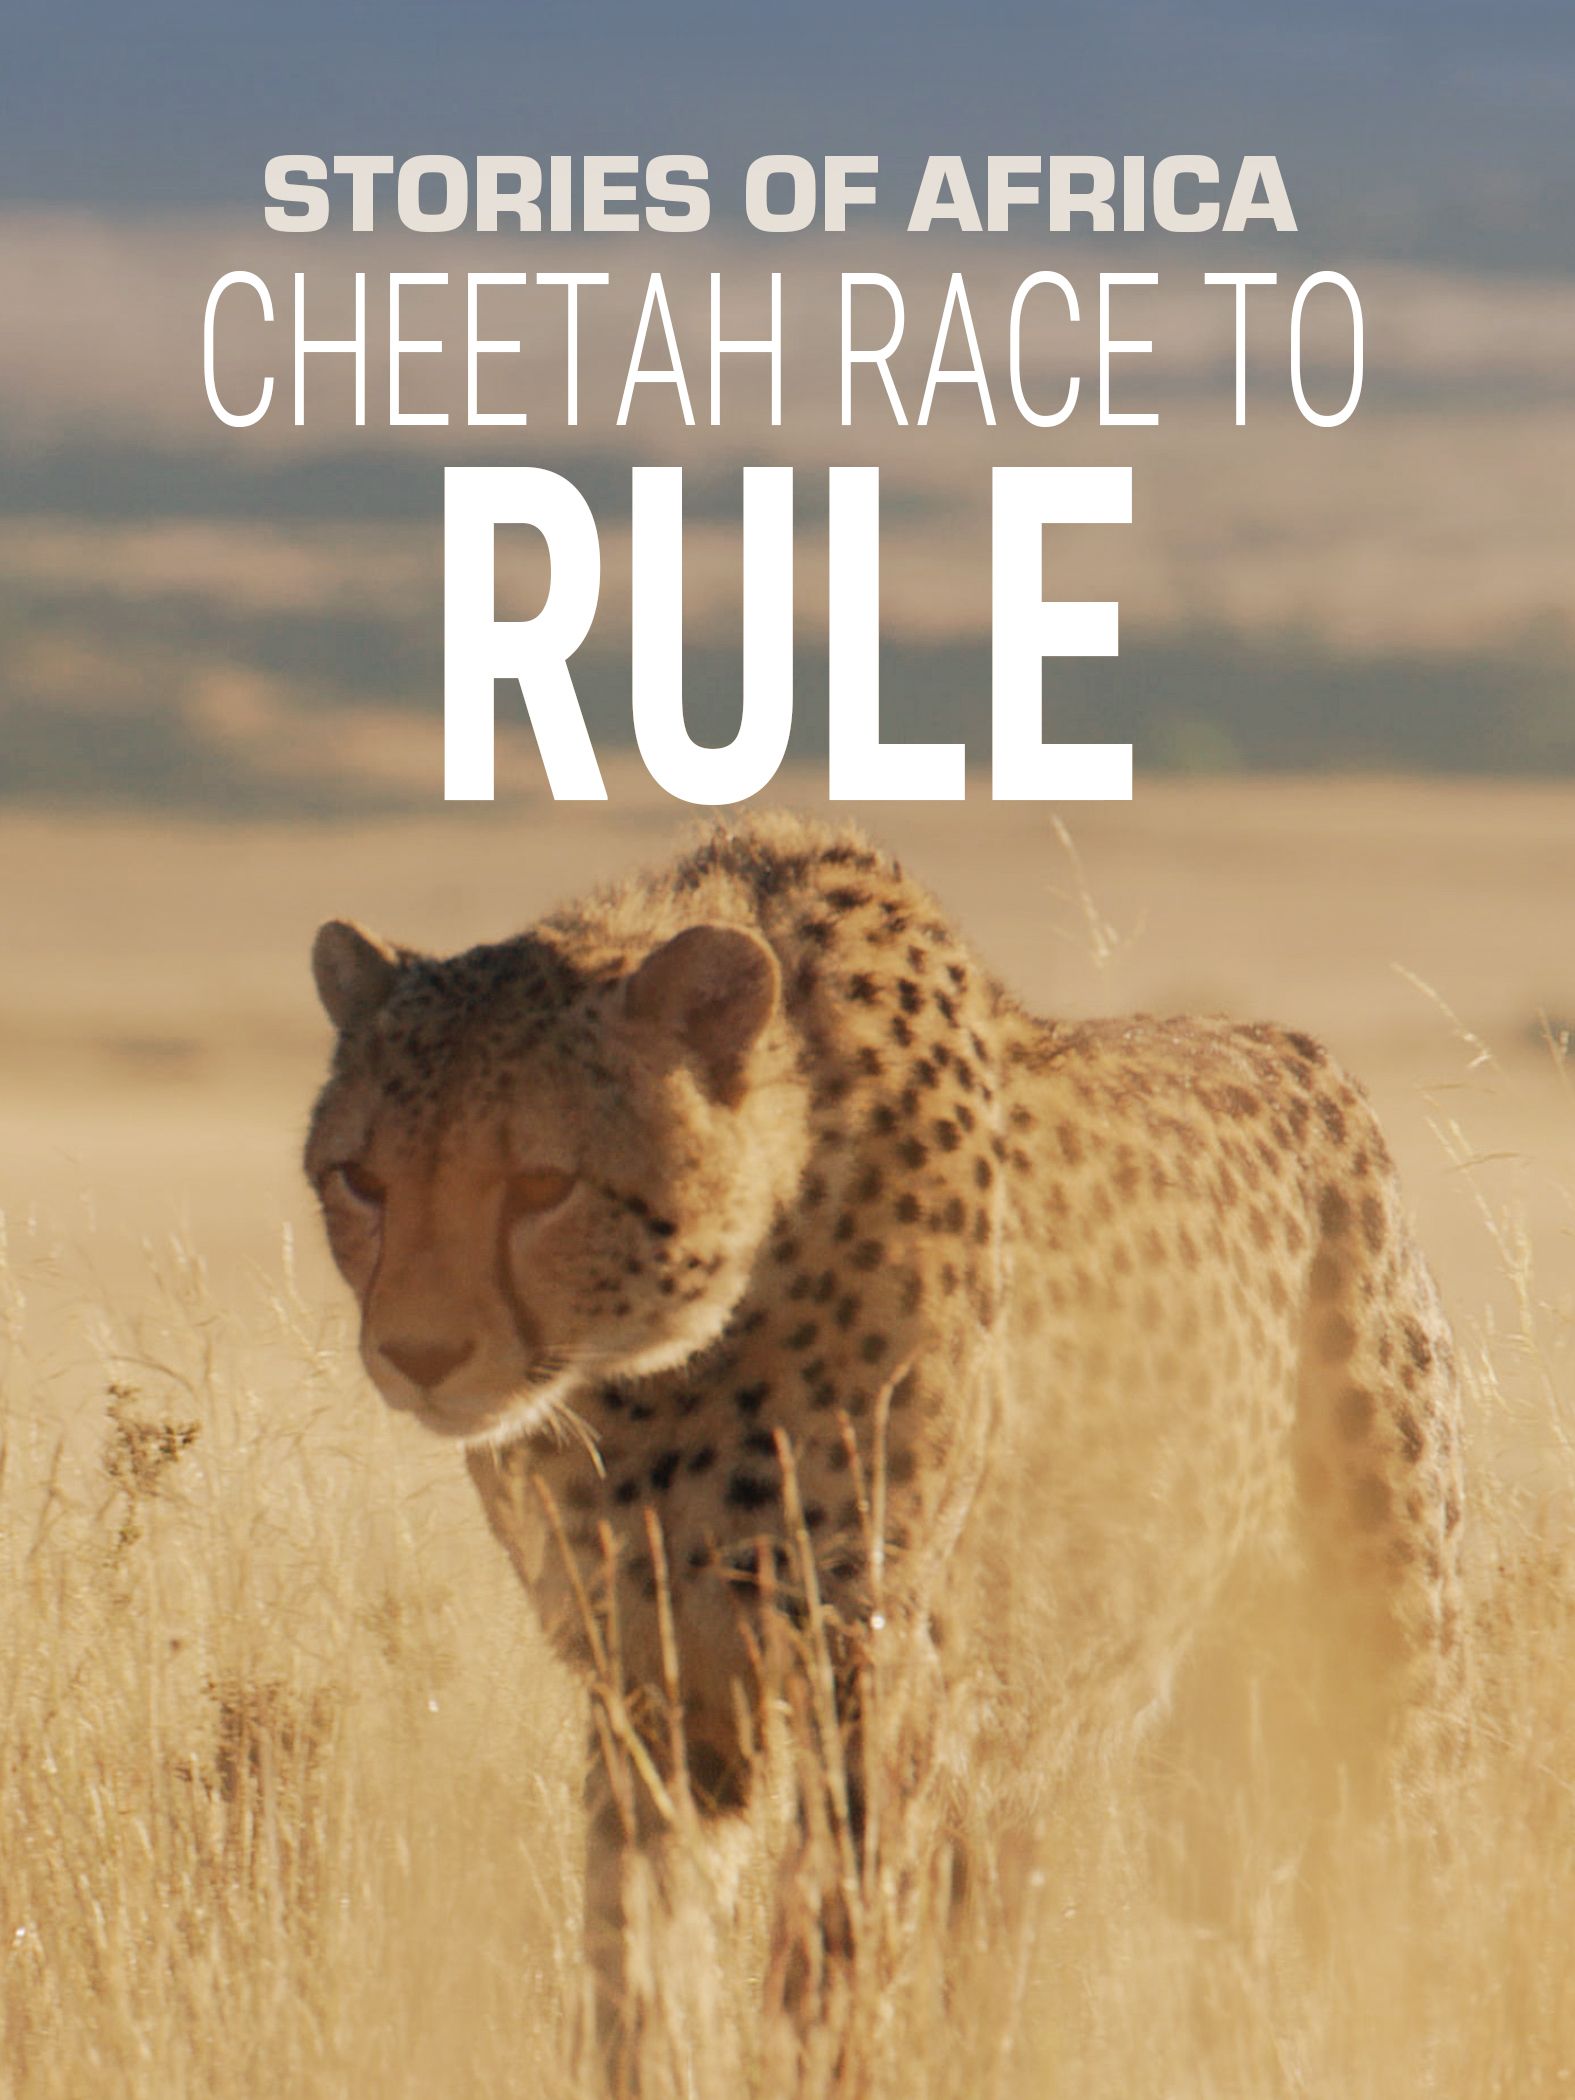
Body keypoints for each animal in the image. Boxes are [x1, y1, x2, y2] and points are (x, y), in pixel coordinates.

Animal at [304, 811, 1467, 2061]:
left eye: (540, 1186)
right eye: (360, 1180)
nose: (418, 1354)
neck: (665, 1370)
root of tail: (1302, 1051)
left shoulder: (873, 1661)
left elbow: (829, 1942)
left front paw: (808, 2059)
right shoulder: (658, 1682)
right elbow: (638, 1936)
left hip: (1372, 1687)